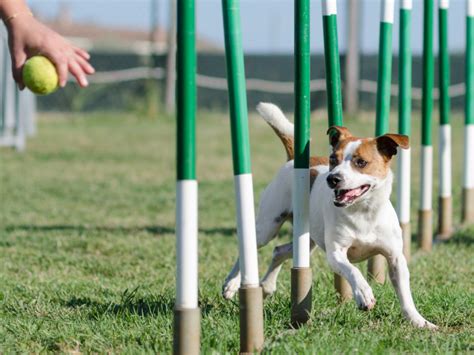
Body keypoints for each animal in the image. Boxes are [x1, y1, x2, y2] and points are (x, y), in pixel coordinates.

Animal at [222, 101, 436, 330]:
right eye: (334, 159)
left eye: (361, 162)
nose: (332, 178)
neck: (362, 212)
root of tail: (292, 160)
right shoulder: (336, 253)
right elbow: (353, 271)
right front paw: (364, 294)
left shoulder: (395, 257)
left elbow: (405, 293)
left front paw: (419, 321)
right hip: (268, 225)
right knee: (250, 247)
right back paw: (231, 284)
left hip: (307, 240)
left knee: (279, 250)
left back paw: (267, 285)